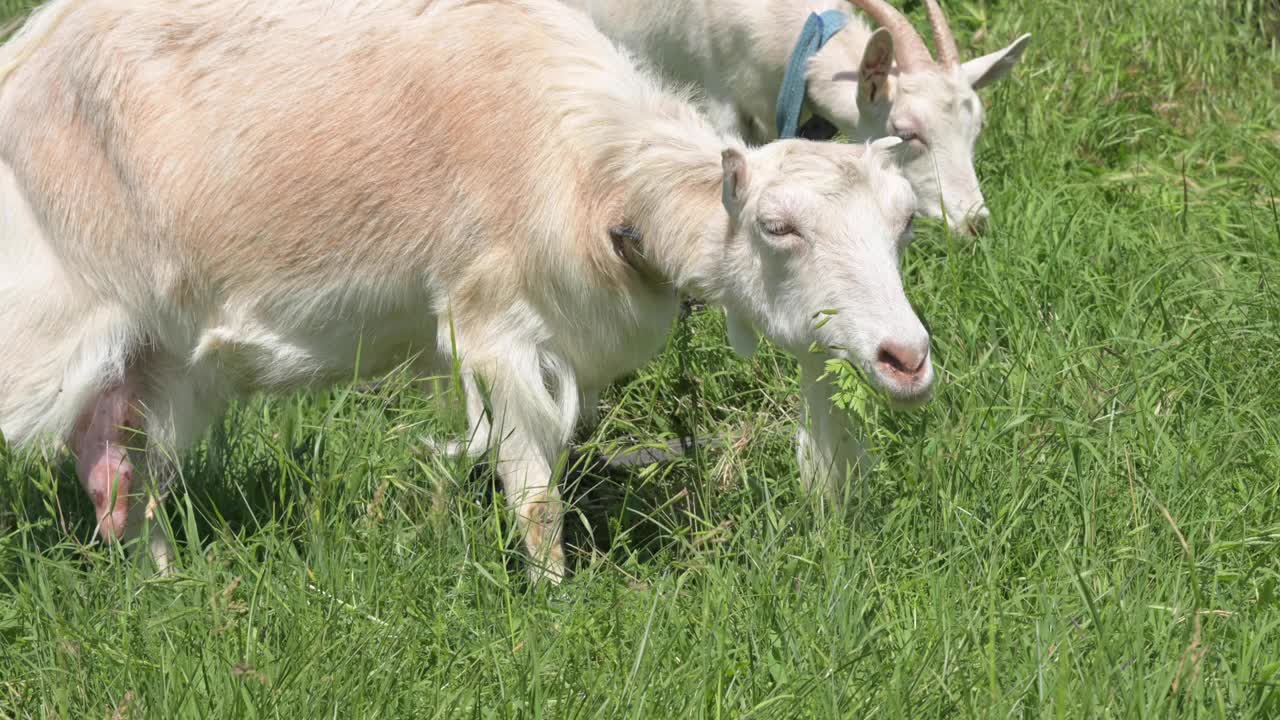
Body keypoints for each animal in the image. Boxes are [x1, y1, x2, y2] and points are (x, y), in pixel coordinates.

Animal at [0, 0, 926, 576]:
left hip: (161, 352)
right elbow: (533, 492)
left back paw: (163, 582)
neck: (594, 172)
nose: (907, 357)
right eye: (777, 225)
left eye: (903, 222)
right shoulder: (497, 324)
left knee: (124, 471)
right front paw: (554, 600)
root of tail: (23, 59)